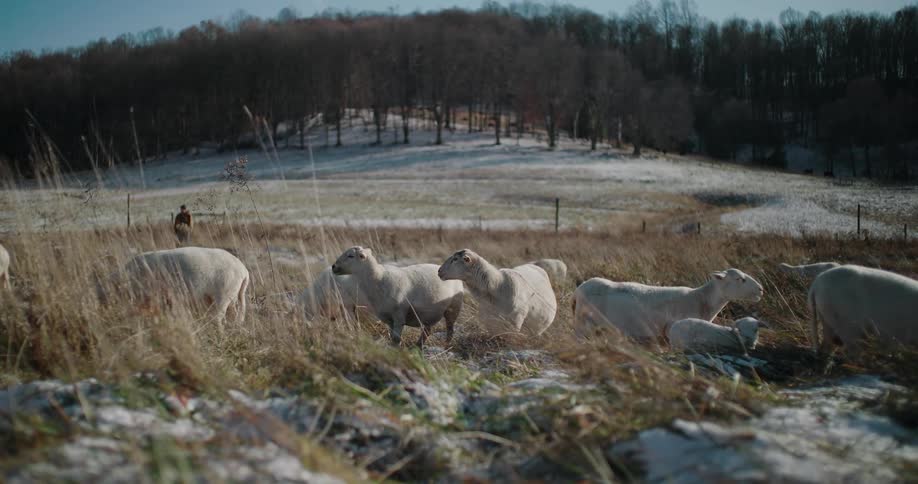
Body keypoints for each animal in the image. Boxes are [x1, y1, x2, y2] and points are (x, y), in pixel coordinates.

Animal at [331, 246, 463, 348]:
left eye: (350, 256)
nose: (333, 266)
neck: (378, 279)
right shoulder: (388, 318)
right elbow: (392, 336)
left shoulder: (399, 315)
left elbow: (396, 338)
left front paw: (397, 348)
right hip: (429, 313)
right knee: (427, 330)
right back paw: (418, 346)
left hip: (453, 308)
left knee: (450, 330)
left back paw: (445, 345)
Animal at [573, 269, 763, 342]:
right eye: (740, 279)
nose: (761, 290)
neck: (701, 299)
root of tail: (580, 288)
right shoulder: (672, 330)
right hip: (583, 323)